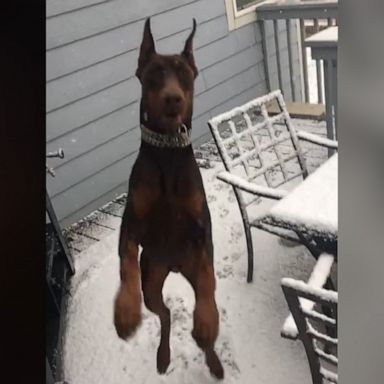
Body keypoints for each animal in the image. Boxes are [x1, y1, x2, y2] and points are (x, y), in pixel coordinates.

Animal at [112, 18, 224, 378]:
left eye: (184, 73)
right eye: (154, 73)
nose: (173, 98)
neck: (167, 151)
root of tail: (174, 266)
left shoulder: (202, 229)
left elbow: (208, 279)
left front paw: (206, 321)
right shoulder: (130, 224)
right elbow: (126, 263)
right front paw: (125, 312)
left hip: (187, 265)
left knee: (200, 304)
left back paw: (212, 355)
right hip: (152, 278)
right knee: (164, 314)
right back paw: (163, 355)